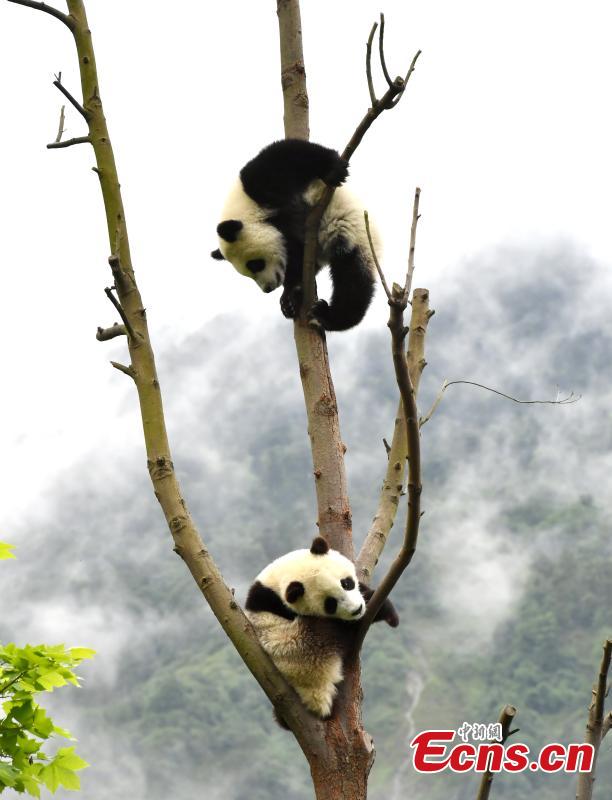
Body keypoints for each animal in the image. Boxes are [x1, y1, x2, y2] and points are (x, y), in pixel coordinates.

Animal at [210, 139, 381, 332]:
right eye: (246, 273)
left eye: (255, 264)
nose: (268, 289)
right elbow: (295, 257)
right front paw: (289, 298)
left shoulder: (258, 184)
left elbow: (289, 153)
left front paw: (334, 168)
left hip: (352, 234)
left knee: (353, 282)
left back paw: (327, 316)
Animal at [245, 536, 398, 725]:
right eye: (330, 603)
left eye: (346, 583)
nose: (357, 610)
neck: (275, 586)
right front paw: (380, 609)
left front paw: (386, 610)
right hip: (302, 652)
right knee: (326, 634)